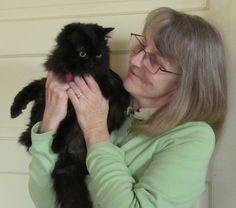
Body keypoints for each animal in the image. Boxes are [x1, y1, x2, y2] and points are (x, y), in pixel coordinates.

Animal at [10, 22, 129, 208]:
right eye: (82, 53)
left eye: (98, 54)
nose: (92, 64)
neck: (72, 76)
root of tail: (68, 164)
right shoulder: (47, 86)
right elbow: (28, 89)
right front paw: (15, 109)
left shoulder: (76, 109)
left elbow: (66, 125)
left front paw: (56, 144)